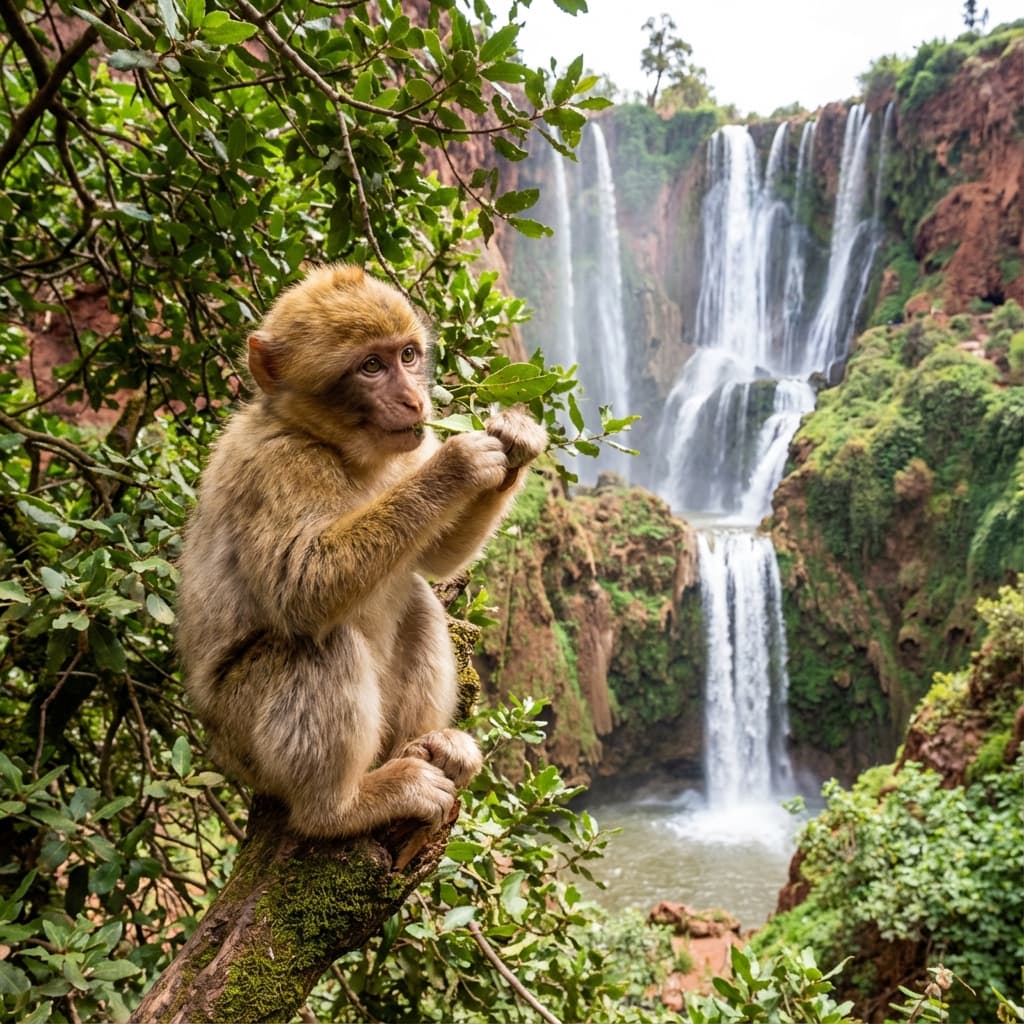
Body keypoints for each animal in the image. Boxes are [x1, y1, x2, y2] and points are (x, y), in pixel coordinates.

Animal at [176, 264, 548, 839]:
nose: (416, 401)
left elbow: (437, 559)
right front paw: (458, 464)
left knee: (417, 600)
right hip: (245, 741)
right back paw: (341, 807)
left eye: (408, 356)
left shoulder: (407, 448)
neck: (337, 449)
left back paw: (428, 747)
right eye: (371, 366)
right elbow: (301, 583)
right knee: (318, 642)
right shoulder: (279, 466)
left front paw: (515, 438)